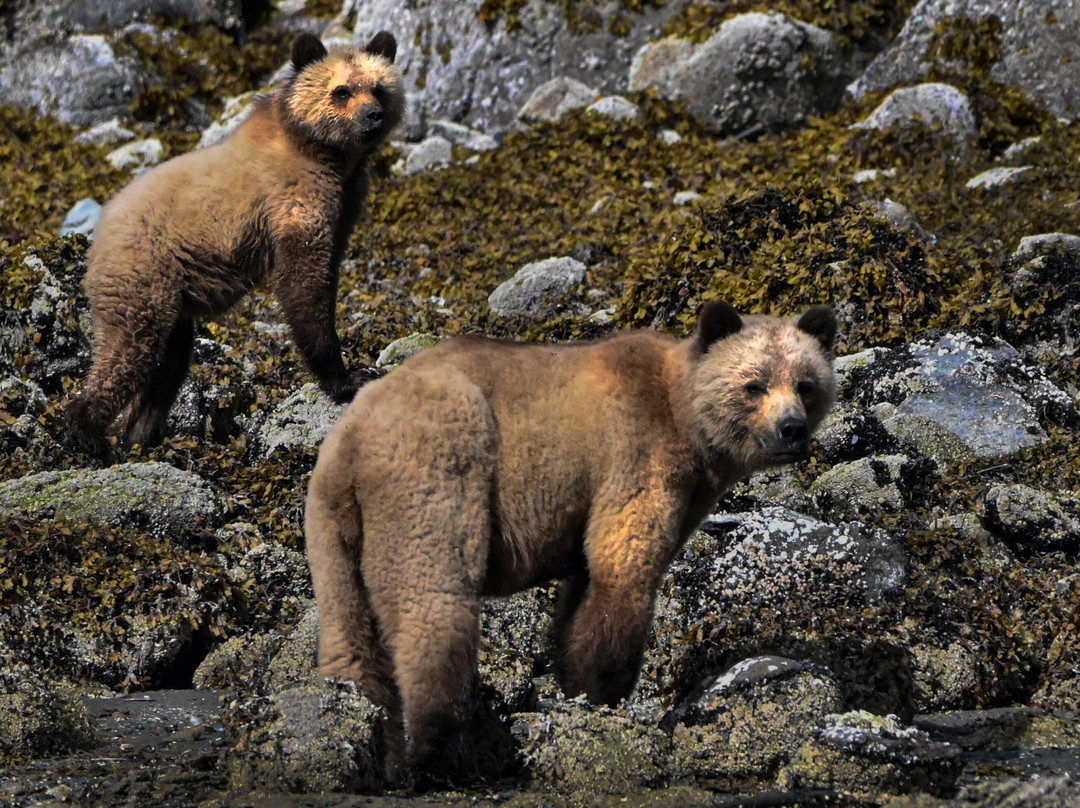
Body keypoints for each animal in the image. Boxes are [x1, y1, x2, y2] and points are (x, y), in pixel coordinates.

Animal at [64, 30, 405, 460]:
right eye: (341, 91)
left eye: (378, 87)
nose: (373, 115)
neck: (326, 155)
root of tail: (98, 238)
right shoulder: (294, 198)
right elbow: (304, 286)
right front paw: (348, 377)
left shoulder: (346, 203)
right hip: (142, 276)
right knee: (128, 352)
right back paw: (91, 435)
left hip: (172, 299)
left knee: (169, 364)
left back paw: (142, 438)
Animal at [304, 300, 838, 781]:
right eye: (755, 384)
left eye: (806, 385)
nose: (791, 429)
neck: (688, 426)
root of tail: (352, 437)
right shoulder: (635, 454)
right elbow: (622, 566)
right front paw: (605, 691)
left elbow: (581, 590)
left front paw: (574, 683)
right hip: (439, 471)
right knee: (433, 605)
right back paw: (443, 753)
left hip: (333, 526)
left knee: (349, 633)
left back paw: (371, 737)